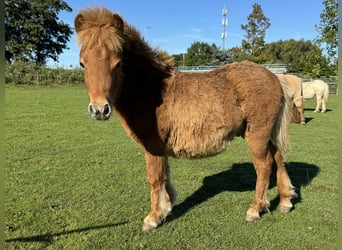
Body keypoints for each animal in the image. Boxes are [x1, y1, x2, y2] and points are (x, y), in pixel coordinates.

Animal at [75, 7, 296, 230]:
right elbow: (165, 174)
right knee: (277, 157)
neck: (151, 90)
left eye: (118, 63)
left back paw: (255, 209)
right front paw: (168, 205)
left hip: (256, 135)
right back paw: (285, 201)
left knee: (264, 166)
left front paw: (153, 217)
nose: (99, 110)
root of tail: (275, 77)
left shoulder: (152, 146)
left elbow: (155, 178)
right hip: (264, 134)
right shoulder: (161, 147)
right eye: (82, 64)